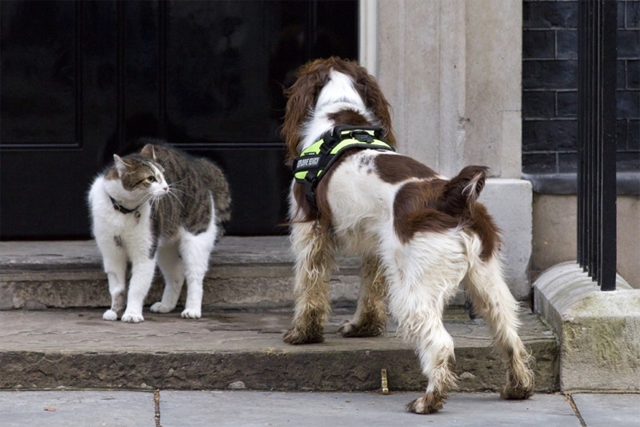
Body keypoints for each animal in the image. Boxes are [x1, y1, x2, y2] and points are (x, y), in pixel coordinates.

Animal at [88, 142, 230, 322]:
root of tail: (197, 165)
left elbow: (137, 286)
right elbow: (116, 288)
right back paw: (166, 306)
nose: (166, 187)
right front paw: (115, 311)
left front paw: (132, 313)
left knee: (194, 278)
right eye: (150, 178)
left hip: (196, 241)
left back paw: (192, 309)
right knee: (176, 277)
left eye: (163, 175)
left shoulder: (145, 253)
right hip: (166, 249)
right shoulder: (111, 252)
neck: (124, 210)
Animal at [280, 56, 536, 414]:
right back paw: (518, 386)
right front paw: (363, 328)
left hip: (415, 289)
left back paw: (429, 400)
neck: (341, 115)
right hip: (486, 280)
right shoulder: (377, 245)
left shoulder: (311, 231)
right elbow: (370, 291)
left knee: (441, 343)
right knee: (508, 333)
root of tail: (452, 196)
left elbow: (310, 287)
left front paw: (303, 333)